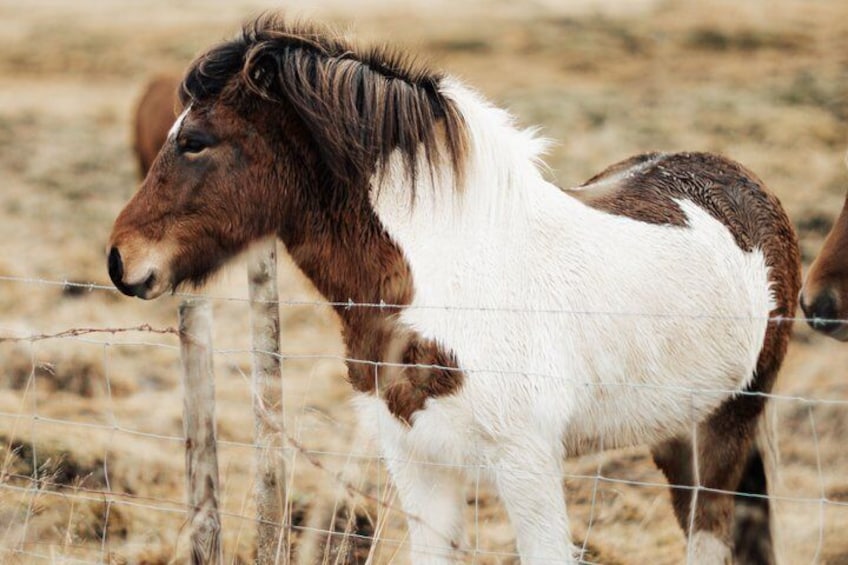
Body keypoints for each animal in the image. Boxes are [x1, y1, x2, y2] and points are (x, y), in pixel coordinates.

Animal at [107, 15, 801, 564]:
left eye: (195, 142)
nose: (120, 260)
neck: (450, 282)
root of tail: (740, 181)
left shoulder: (527, 466)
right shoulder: (416, 461)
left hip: (731, 421)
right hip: (673, 431)